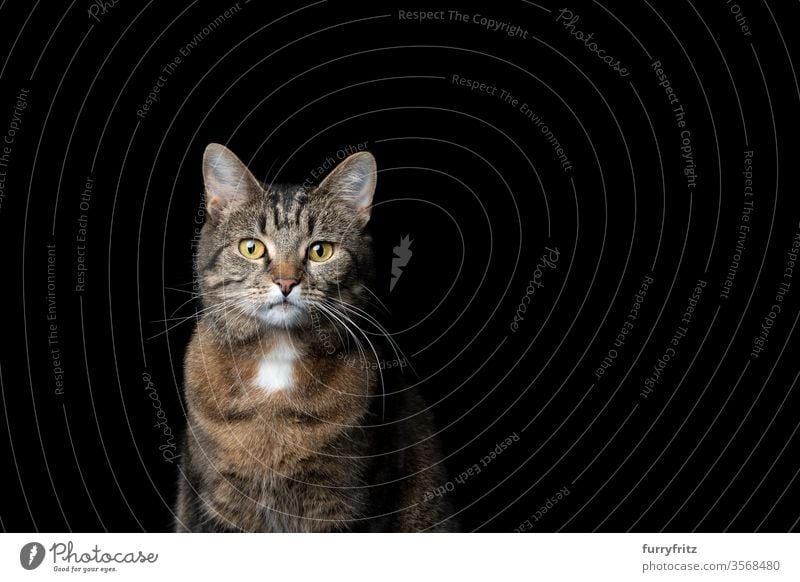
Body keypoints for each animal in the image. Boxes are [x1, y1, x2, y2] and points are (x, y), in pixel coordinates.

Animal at [173, 145, 456, 532]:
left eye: (320, 250)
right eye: (251, 248)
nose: (286, 282)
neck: (277, 361)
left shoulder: (347, 503)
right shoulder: (221, 503)